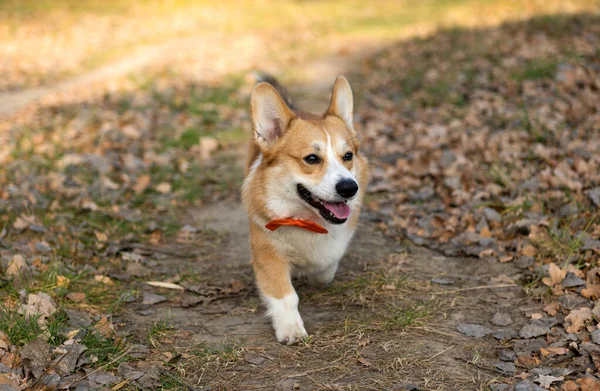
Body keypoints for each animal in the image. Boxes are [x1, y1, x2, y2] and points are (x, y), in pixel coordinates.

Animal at [241, 76, 368, 346]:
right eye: (311, 158)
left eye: (348, 156)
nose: (349, 188)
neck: (308, 220)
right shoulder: (268, 254)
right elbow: (285, 295)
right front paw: (290, 329)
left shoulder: (331, 254)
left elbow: (324, 271)